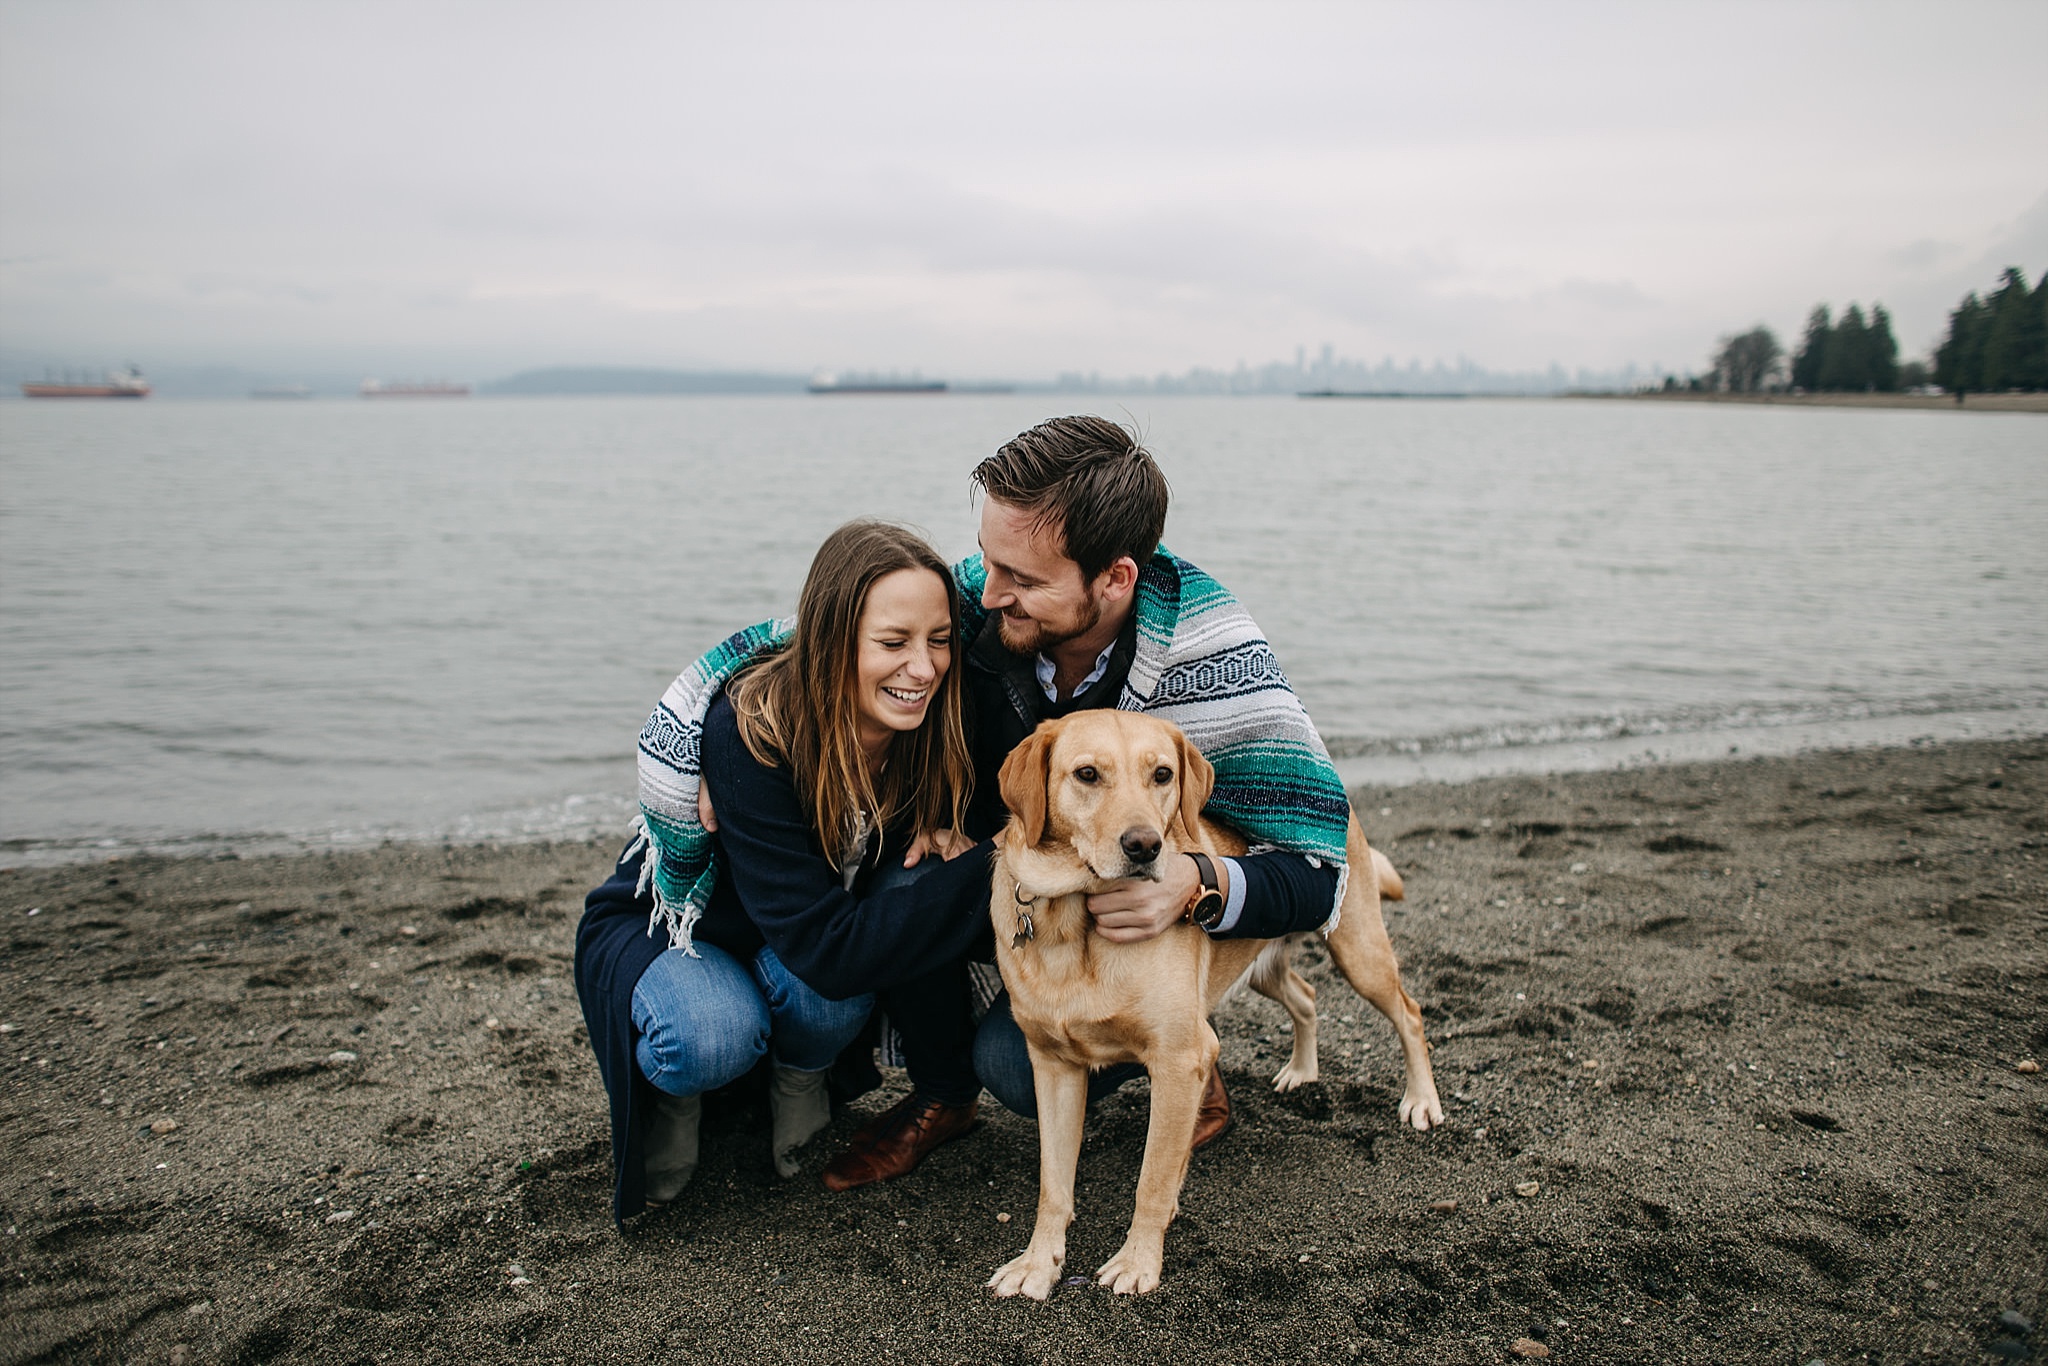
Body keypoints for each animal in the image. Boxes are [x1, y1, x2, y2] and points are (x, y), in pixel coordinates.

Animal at [987, 712, 1441, 1302]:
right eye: (1087, 774)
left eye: (1162, 774)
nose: (1145, 846)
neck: (1074, 917)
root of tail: (1342, 807)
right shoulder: (1053, 1065)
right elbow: (1054, 1185)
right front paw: (1039, 1263)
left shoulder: (1181, 1058)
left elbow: (1153, 1178)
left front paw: (1138, 1261)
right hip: (1265, 968)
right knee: (1306, 996)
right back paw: (1302, 1070)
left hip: (1359, 951)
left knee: (1409, 1012)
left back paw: (1422, 1100)